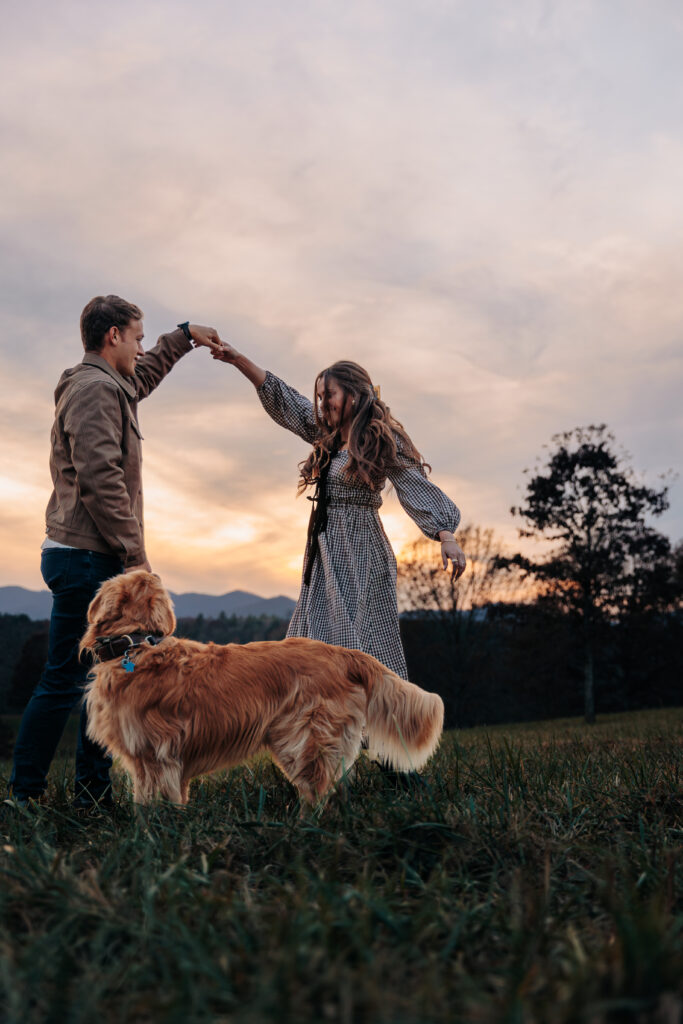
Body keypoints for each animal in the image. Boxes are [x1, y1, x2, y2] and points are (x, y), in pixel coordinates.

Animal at [80, 573, 446, 802]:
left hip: (305, 739)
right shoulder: (165, 762)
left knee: (319, 793)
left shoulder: (155, 756)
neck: (135, 645)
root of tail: (344, 653)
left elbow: (151, 805)